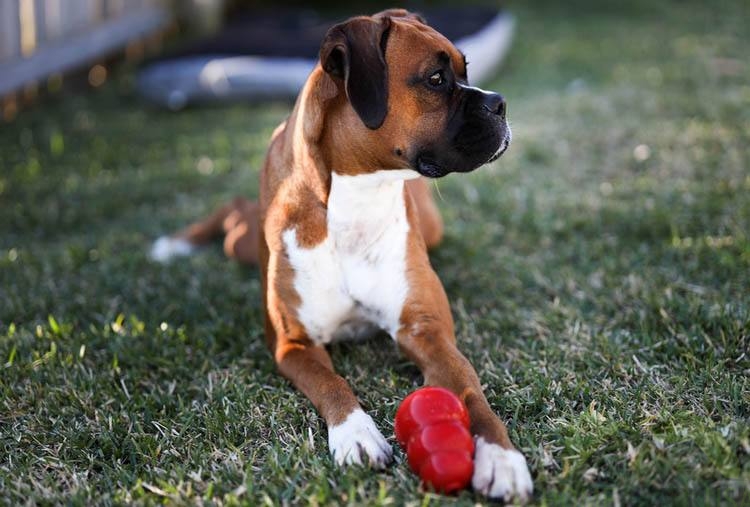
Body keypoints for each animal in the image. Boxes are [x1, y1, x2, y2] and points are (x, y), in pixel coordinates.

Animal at [150, 8, 532, 504]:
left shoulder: (428, 333)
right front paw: (356, 433)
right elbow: (332, 383)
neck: (357, 199)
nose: (499, 103)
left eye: (465, 71)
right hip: (243, 242)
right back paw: (175, 244)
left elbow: (471, 392)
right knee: (234, 211)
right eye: (436, 79)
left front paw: (501, 457)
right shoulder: (294, 344)